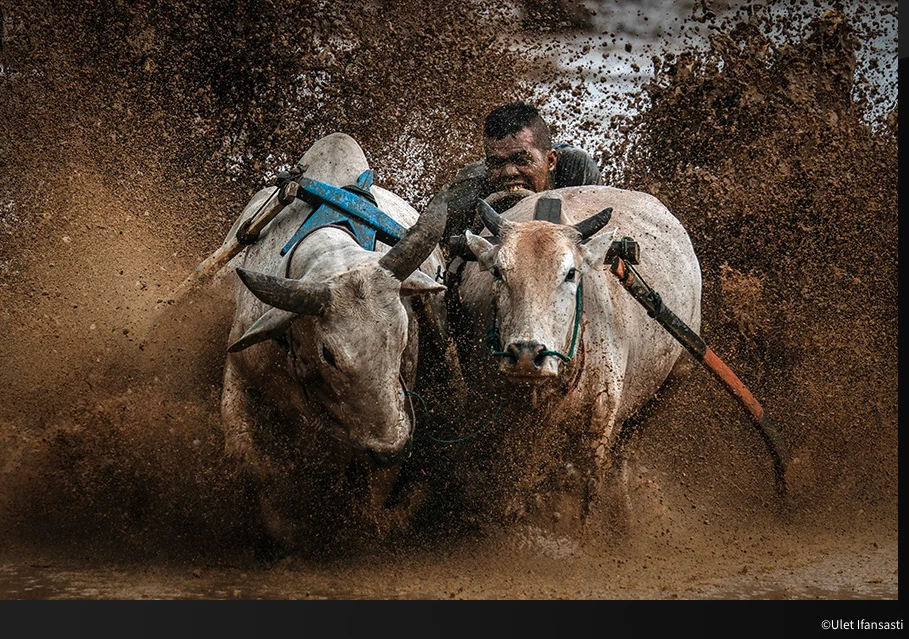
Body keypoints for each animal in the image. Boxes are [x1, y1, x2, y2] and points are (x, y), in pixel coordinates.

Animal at [220, 132, 446, 552]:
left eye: (402, 336)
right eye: (330, 355)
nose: (390, 448)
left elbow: (372, 501)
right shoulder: (239, 371)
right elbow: (252, 464)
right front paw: (285, 530)